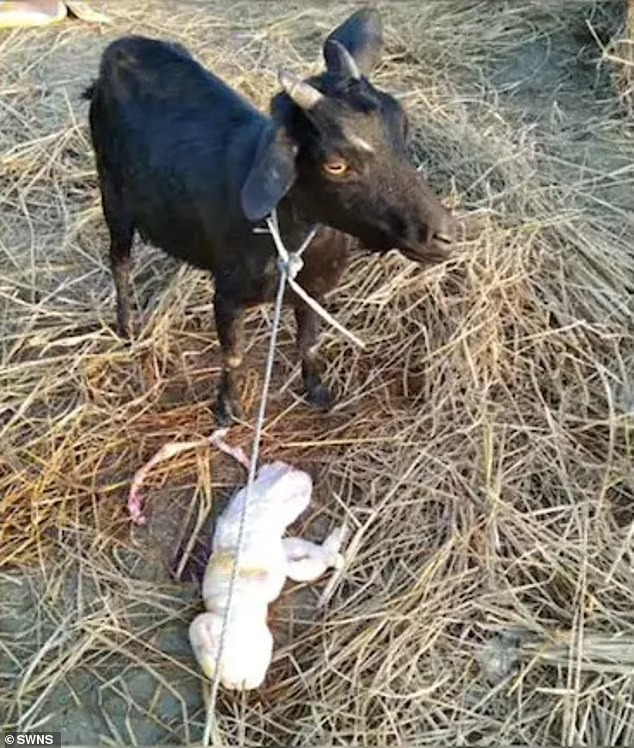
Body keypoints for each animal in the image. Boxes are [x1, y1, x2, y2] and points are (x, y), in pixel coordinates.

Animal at [84, 8, 452, 424]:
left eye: (403, 129)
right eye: (336, 164)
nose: (443, 233)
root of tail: (121, 46)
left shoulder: (314, 290)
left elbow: (309, 341)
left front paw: (317, 392)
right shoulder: (228, 294)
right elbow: (233, 353)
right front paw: (227, 410)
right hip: (112, 191)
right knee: (120, 260)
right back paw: (127, 327)